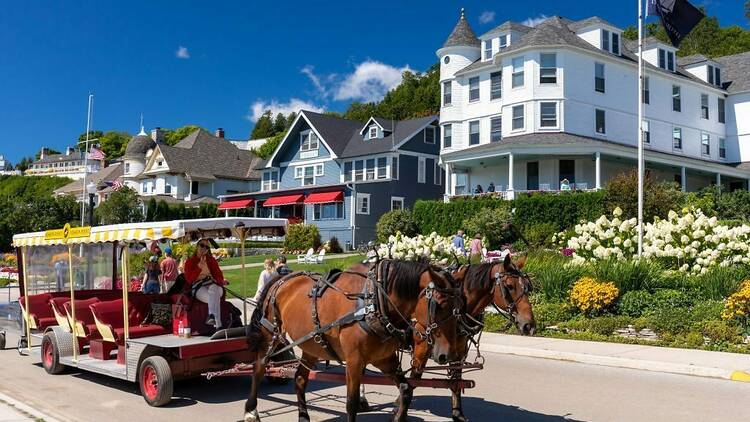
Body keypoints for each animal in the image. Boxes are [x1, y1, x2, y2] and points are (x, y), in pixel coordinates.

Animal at [247, 258, 468, 422]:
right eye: (439, 305)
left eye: (460, 305)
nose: (448, 354)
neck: (374, 302)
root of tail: (283, 277)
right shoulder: (354, 360)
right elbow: (351, 403)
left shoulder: (384, 359)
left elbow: (406, 390)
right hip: (271, 334)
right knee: (259, 367)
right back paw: (251, 411)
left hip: (311, 345)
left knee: (300, 379)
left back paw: (303, 416)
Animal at [412, 252, 536, 420]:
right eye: (510, 286)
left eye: (527, 287)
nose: (529, 325)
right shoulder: (421, 348)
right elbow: (412, 379)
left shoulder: (458, 351)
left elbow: (456, 381)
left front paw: (458, 414)